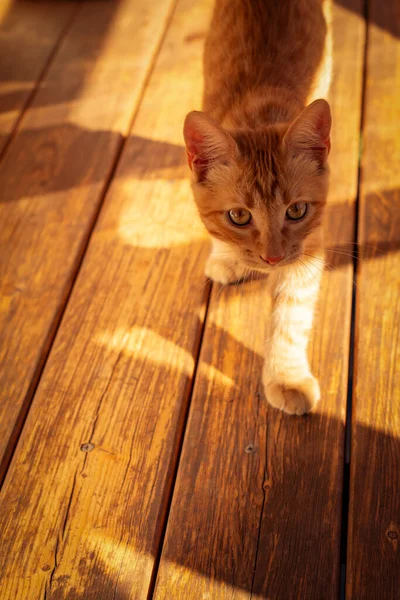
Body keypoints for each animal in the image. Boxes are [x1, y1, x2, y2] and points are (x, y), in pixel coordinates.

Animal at [184, 0, 332, 412]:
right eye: (239, 216)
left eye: (296, 211)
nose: (272, 258)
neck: (258, 114)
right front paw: (227, 255)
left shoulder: (308, 250)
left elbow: (290, 318)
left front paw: (287, 377)